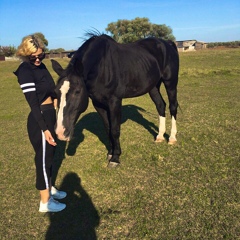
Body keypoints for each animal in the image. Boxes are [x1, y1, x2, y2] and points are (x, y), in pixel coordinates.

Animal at [51, 33, 178, 168]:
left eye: (77, 91)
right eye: (56, 92)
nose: (60, 132)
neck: (101, 66)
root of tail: (167, 44)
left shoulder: (114, 101)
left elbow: (115, 130)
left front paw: (115, 158)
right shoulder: (98, 103)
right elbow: (108, 128)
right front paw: (111, 153)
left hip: (170, 83)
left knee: (172, 107)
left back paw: (172, 138)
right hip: (153, 87)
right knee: (160, 105)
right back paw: (160, 136)